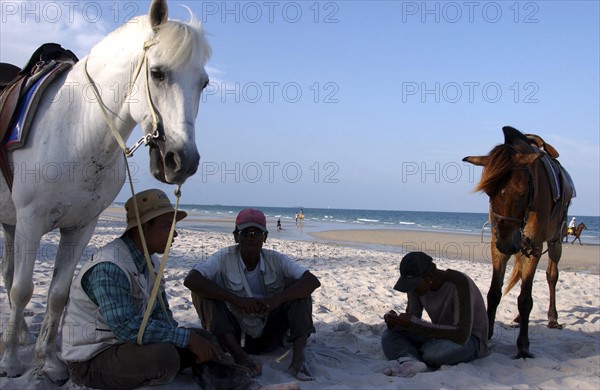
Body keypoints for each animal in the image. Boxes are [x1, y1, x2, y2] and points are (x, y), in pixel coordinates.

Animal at [0, 0, 211, 382]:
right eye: (157, 73)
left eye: (203, 83)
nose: (182, 161)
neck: (76, 129)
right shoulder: (31, 222)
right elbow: (24, 290)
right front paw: (10, 361)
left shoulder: (81, 227)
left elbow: (58, 294)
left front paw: (48, 360)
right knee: (12, 280)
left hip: (10, 223)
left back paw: (21, 332)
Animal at [462, 126, 576, 358]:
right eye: (489, 192)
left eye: (523, 192)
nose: (508, 244)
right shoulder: (498, 246)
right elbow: (494, 292)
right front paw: (488, 334)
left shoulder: (534, 246)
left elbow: (525, 299)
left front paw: (523, 345)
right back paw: (516, 319)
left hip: (554, 242)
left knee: (552, 276)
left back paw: (553, 318)